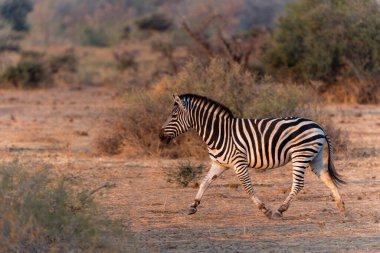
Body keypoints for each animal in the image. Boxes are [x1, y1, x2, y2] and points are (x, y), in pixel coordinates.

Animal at [159, 94, 346, 218]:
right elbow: (204, 183)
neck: (220, 133)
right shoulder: (219, 164)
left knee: (298, 184)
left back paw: (280, 210)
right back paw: (341, 207)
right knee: (327, 177)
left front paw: (265, 209)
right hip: (315, 158)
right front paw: (193, 206)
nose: (160, 137)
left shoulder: (239, 162)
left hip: (300, 155)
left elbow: (247, 187)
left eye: (173, 116)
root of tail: (318, 126)